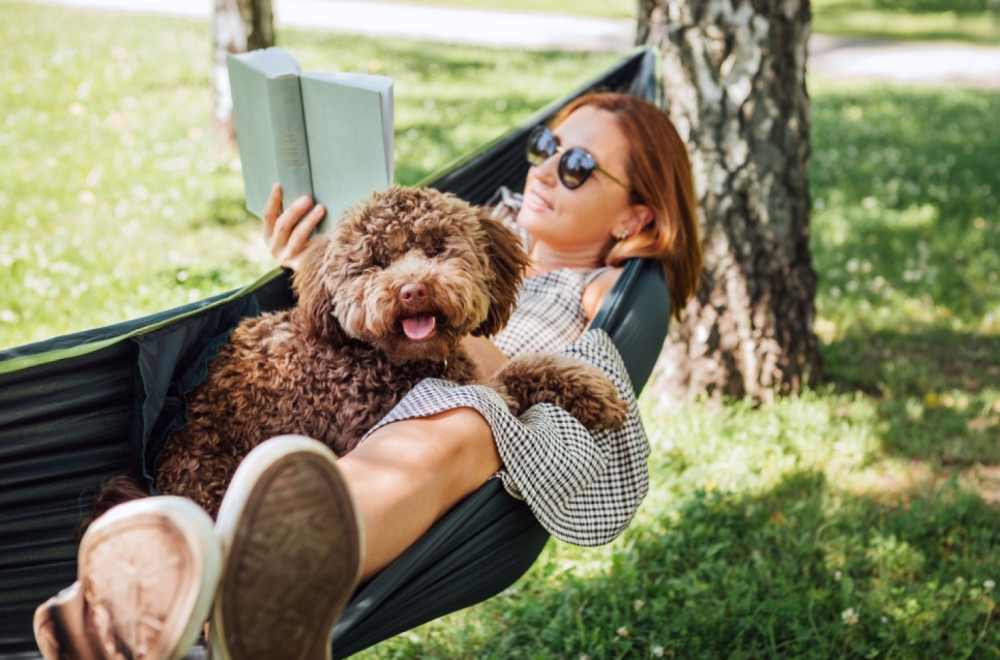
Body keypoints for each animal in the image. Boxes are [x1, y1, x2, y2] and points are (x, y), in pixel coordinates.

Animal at [94, 186, 624, 520]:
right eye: (374, 263)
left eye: (437, 249)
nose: (412, 290)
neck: (382, 359)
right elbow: (512, 380)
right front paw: (592, 390)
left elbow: (521, 370)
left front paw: (588, 388)